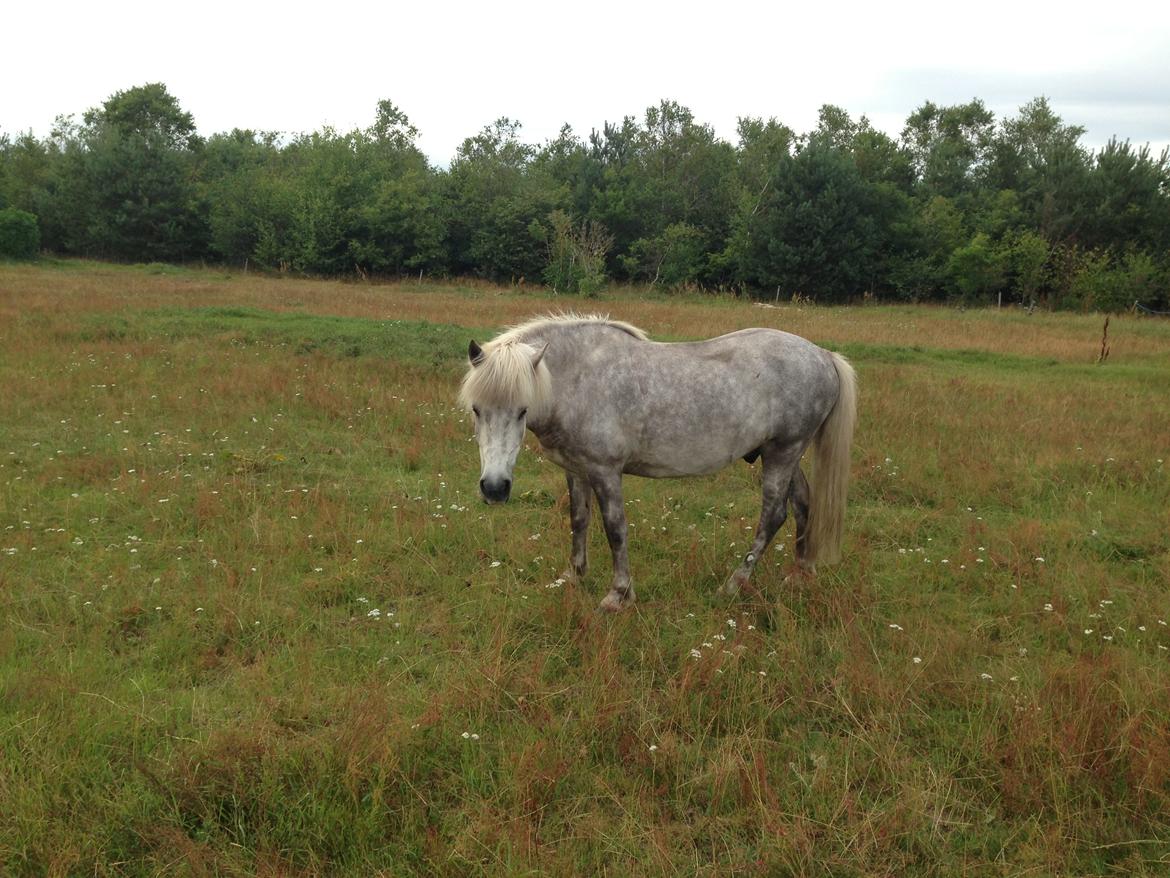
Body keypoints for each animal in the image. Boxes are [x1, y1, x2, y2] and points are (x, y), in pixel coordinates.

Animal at [458, 313, 861, 613]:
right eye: (477, 409)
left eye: (522, 410)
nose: (494, 488)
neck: (580, 379)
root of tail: (824, 355)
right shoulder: (577, 469)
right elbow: (578, 520)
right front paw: (573, 576)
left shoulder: (606, 471)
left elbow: (615, 529)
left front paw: (618, 595)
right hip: (785, 454)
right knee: (803, 504)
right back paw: (801, 572)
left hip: (783, 451)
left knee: (773, 515)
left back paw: (734, 583)